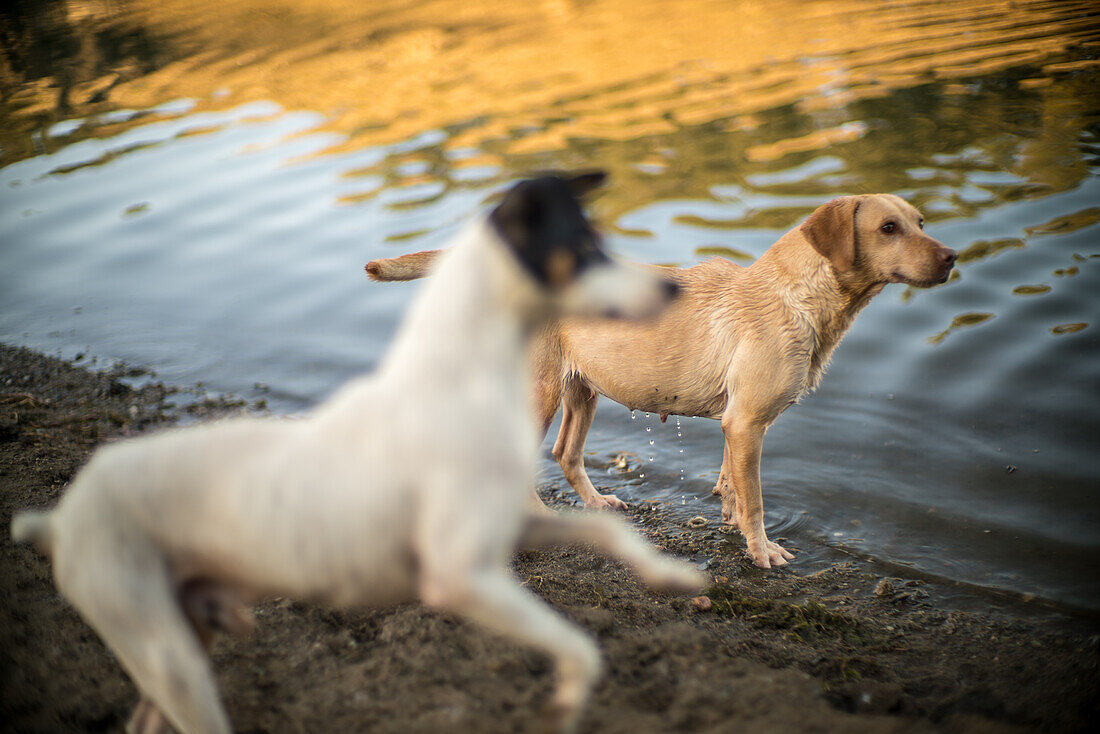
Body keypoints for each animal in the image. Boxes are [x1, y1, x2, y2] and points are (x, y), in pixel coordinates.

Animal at [10, 173, 695, 734]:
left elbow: (603, 536)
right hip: (166, 651)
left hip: (187, 630)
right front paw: (568, 696)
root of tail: (62, 516)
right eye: (585, 249)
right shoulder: (457, 577)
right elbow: (576, 644)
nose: (668, 287)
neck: (457, 375)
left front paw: (672, 576)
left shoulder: (507, 527)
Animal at [367, 193, 954, 567]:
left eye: (922, 222)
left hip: (582, 390)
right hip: (539, 392)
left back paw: (598, 505)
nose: (952, 257)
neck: (796, 296)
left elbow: (730, 484)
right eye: (888, 228)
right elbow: (757, 500)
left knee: (565, 454)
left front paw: (730, 521)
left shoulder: (736, 425)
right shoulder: (748, 423)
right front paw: (763, 551)